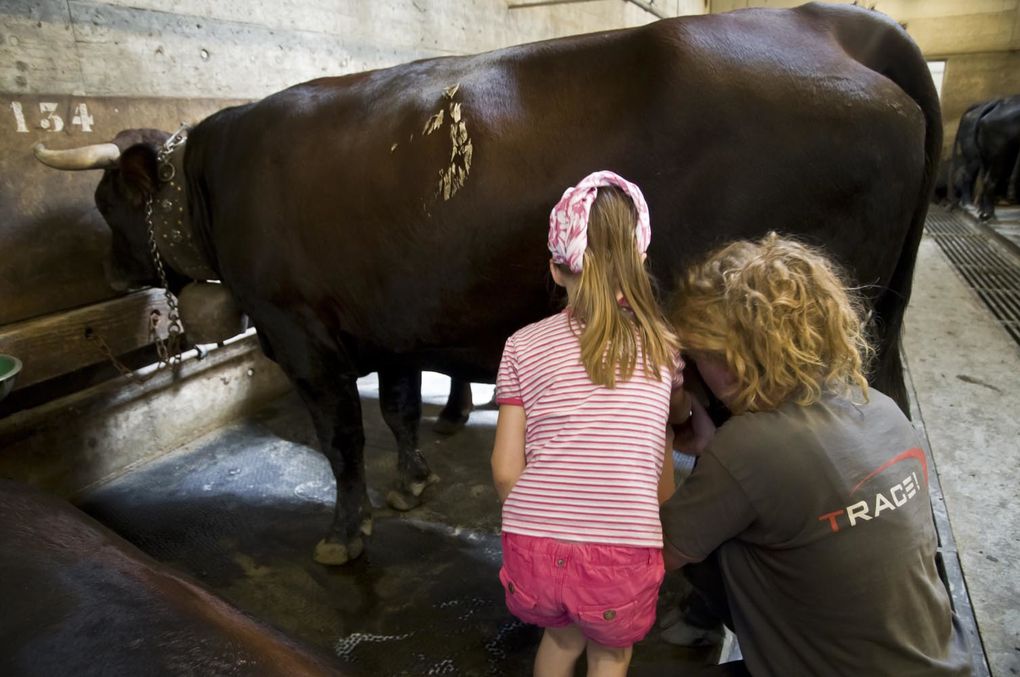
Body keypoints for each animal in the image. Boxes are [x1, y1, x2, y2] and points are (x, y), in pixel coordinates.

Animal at [33, 2, 938, 566]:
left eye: (109, 201)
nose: (108, 269)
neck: (219, 179)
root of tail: (817, 25)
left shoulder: (300, 336)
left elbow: (342, 441)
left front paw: (346, 532)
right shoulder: (390, 319)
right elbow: (399, 409)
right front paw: (413, 482)